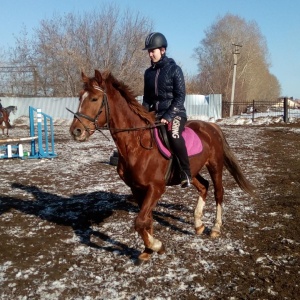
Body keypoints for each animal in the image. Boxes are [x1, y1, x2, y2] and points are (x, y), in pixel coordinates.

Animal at [69, 69, 255, 262]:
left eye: (94, 99)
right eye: (80, 97)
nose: (76, 131)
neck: (136, 144)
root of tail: (211, 126)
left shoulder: (156, 188)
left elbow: (139, 221)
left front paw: (156, 245)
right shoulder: (137, 188)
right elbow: (146, 220)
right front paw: (148, 250)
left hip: (215, 166)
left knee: (219, 192)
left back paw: (216, 228)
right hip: (191, 171)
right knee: (204, 186)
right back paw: (198, 224)